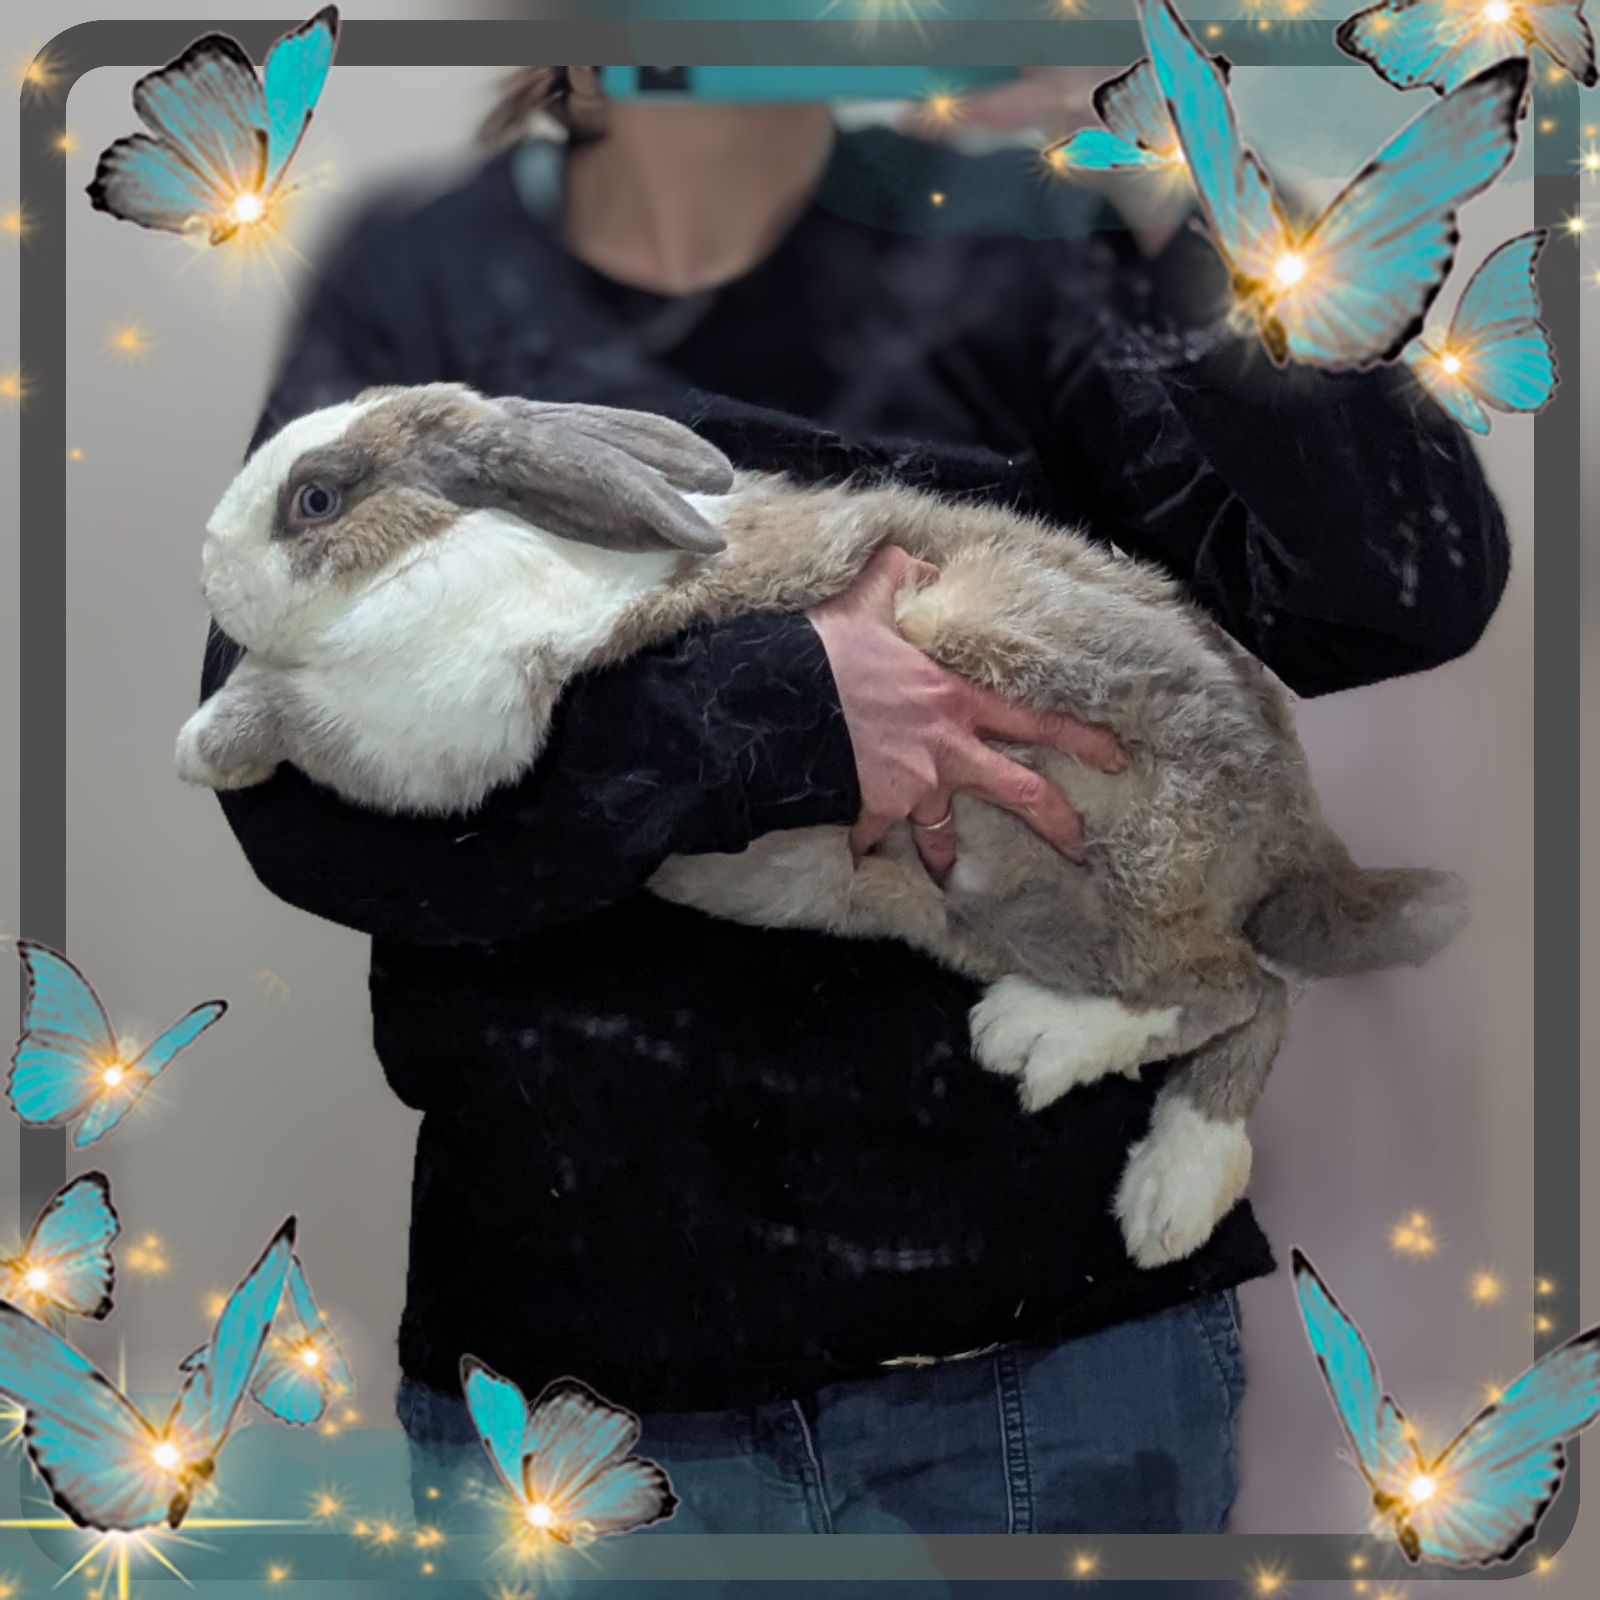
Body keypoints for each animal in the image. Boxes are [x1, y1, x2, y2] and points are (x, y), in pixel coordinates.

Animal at [178, 383, 1469, 1267]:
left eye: (316, 497)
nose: (208, 570)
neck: (459, 541)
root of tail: (1296, 834)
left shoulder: (443, 717)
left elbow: (304, 707)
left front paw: (204, 745)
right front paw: (212, 726)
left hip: (1064, 757)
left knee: (1244, 986)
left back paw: (1139, 1159)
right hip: (987, 903)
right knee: (1234, 987)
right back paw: (1056, 1054)